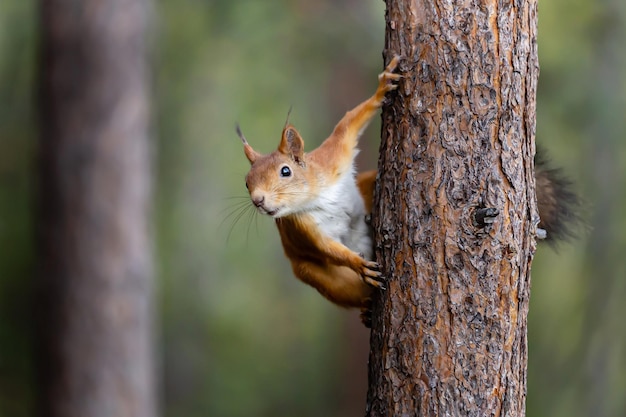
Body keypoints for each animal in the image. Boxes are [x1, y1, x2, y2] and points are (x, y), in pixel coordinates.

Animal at [236, 55, 576, 324]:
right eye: (247, 182)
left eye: (286, 171)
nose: (258, 200)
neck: (317, 194)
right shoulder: (302, 228)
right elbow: (329, 249)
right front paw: (359, 264)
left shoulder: (334, 157)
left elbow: (350, 123)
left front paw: (382, 89)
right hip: (318, 277)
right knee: (345, 288)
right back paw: (366, 306)